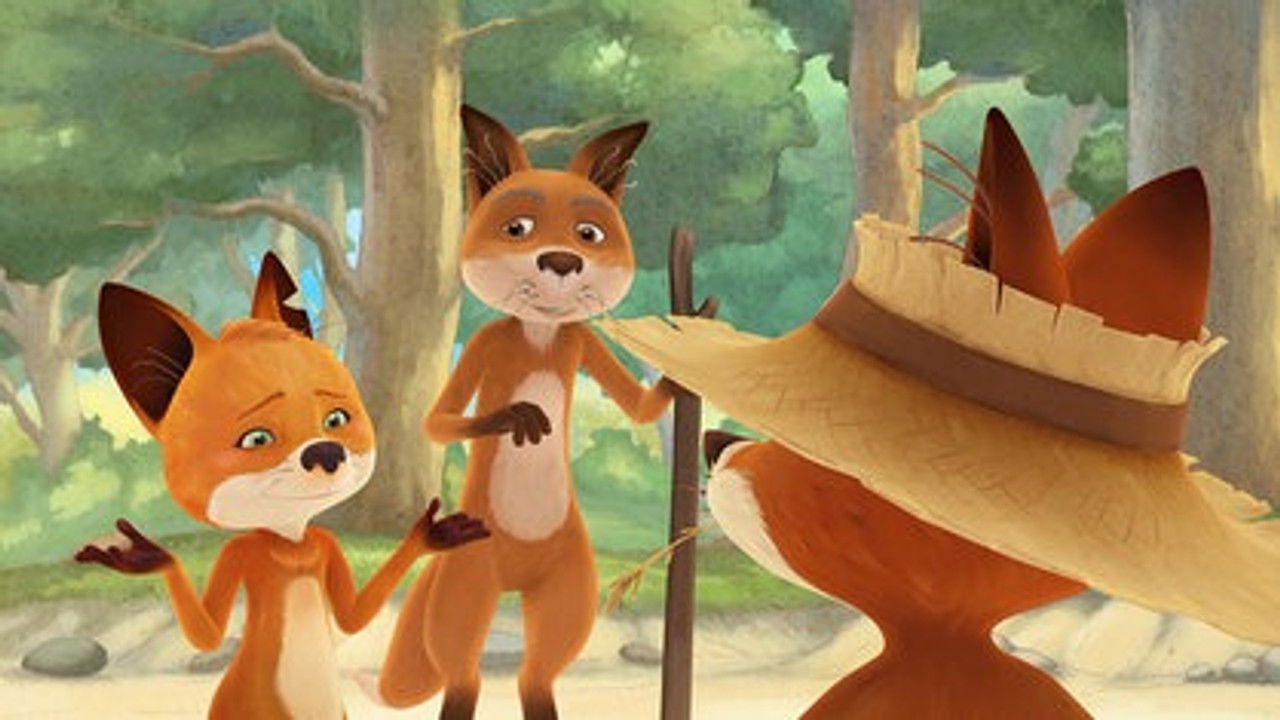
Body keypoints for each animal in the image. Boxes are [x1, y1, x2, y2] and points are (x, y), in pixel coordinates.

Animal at [75, 253, 489, 720]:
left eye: (336, 419)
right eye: (257, 439)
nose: (326, 451)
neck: (290, 539)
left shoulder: (325, 543)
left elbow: (351, 617)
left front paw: (428, 536)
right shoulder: (238, 551)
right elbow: (208, 636)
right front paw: (149, 557)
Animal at [372, 106, 675, 720]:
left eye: (590, 233)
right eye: (517, 228)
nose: (561, 260)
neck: (538, 334)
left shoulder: (581, 340)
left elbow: (637, 406)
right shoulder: (487, 340)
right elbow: (437, 419)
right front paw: (519, 416)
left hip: (566, 589)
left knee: (537, 675)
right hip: (469, 583)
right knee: (462, 676)